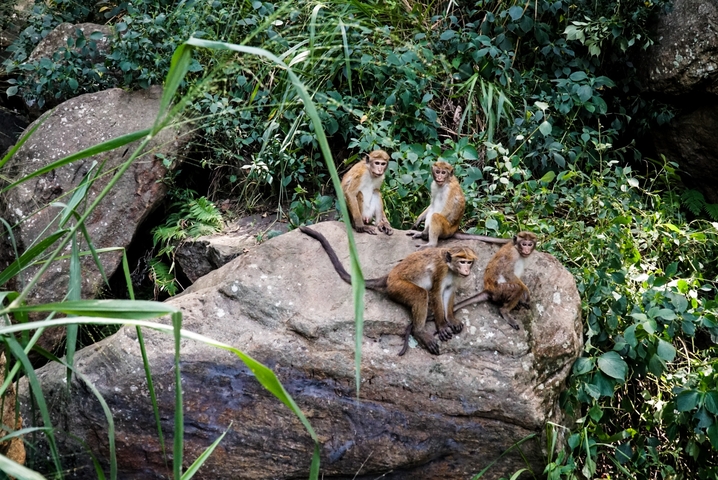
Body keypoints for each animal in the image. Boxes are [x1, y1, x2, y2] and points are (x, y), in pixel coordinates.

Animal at [299, 226, 477, 355]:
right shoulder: (440, 270)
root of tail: (389, 276)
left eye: (469, 262)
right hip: (397, 287)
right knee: (421, 294)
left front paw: (451, 319)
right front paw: (442, 326)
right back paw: (419, 331)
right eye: (462, 261)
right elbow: (435, 293)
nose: (467, 270)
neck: (451, 269)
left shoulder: (455, 278)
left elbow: (448, 292)